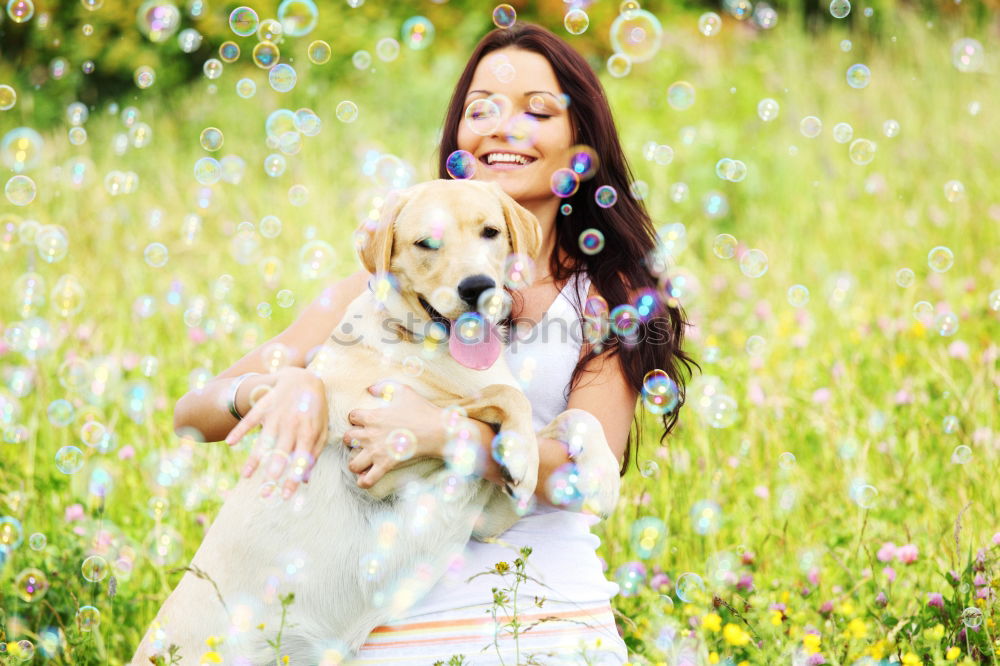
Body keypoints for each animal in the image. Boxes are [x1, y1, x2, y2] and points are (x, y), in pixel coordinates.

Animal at [131, 179, 616, 660]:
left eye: (491, 232)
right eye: (427, 243)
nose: (478, 286)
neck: (418, 342)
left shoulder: (489, 514)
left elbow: (567, 417)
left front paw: (601, 471)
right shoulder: (383, 461)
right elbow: (500, 397)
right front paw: (518, 446)